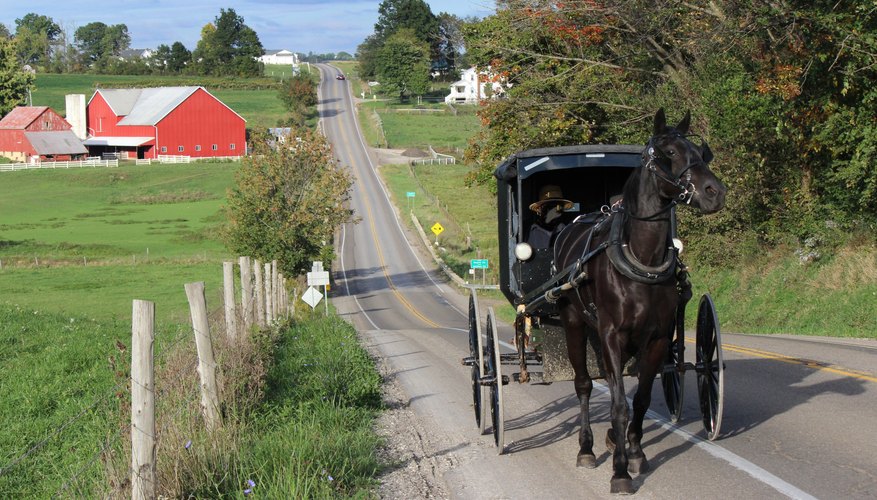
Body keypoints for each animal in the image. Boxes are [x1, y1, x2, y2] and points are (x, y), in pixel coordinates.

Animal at [556, 109, 724, 492]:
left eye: (700, 152)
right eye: (670, 153)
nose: (716, 192)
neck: (641, 259)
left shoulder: (657, 338)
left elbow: (642, 399)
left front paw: (634, 452)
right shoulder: (612, 335)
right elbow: (619, 405)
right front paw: (619, 471)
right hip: (575, 323)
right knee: (584, 384)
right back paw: (586, 447)